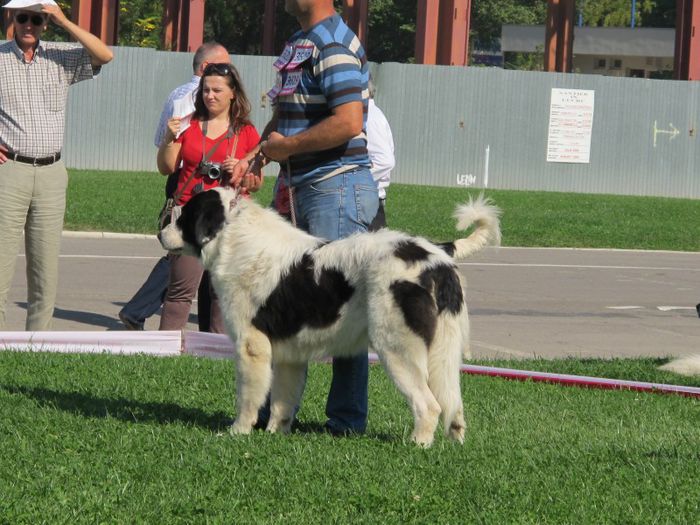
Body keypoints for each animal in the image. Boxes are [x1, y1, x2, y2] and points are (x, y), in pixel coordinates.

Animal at [161, 186, 500, 444]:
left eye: (185, 216)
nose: (161, 232)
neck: (232, 235)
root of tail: (435, 254)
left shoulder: (251, 346)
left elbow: (248, 395)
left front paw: (238, 431)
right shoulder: (289, 356)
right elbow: (283, 401)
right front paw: (274, 434)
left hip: (397, 348)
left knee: (429, 405)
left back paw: (418, 444)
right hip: (445, 348)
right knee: (453, 404)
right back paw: (453, 444)